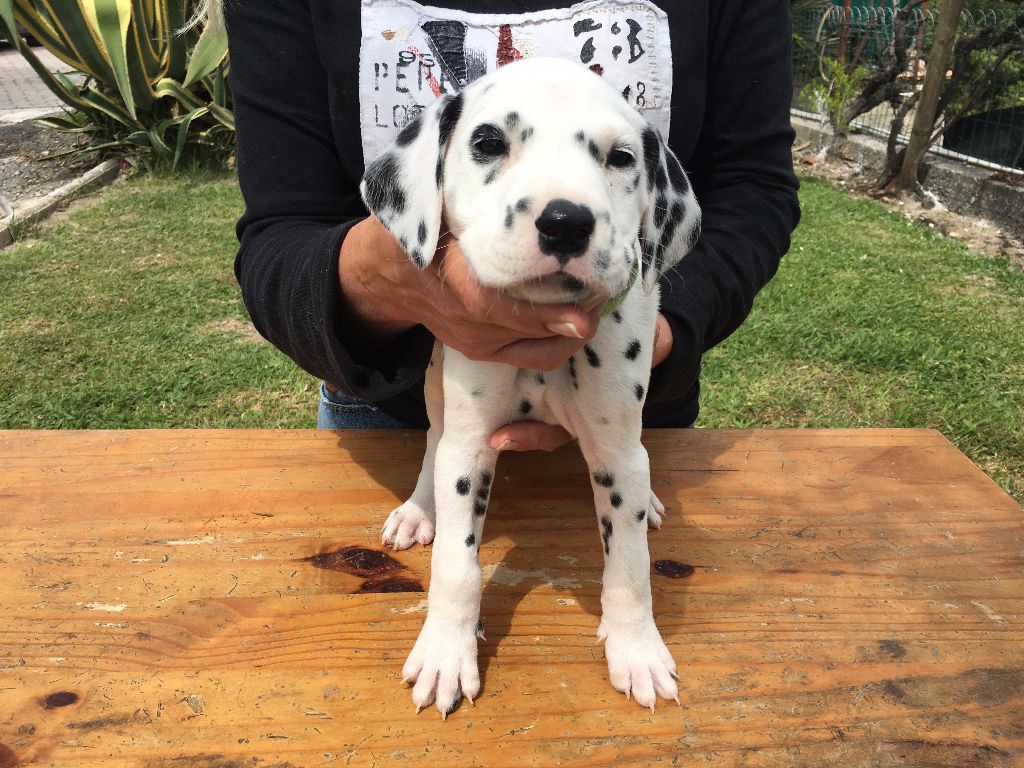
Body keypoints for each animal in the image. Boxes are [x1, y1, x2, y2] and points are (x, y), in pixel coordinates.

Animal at [360, 57, 701, 717]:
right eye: (489, 142)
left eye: (621, 157)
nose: (566, 222)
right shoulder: (469, 448)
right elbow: (456, 565)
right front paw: (446, 651)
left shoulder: (617, 452)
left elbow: (630, 565)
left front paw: (637, 648)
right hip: (437, 387)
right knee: (432, 446)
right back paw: (418, 509)